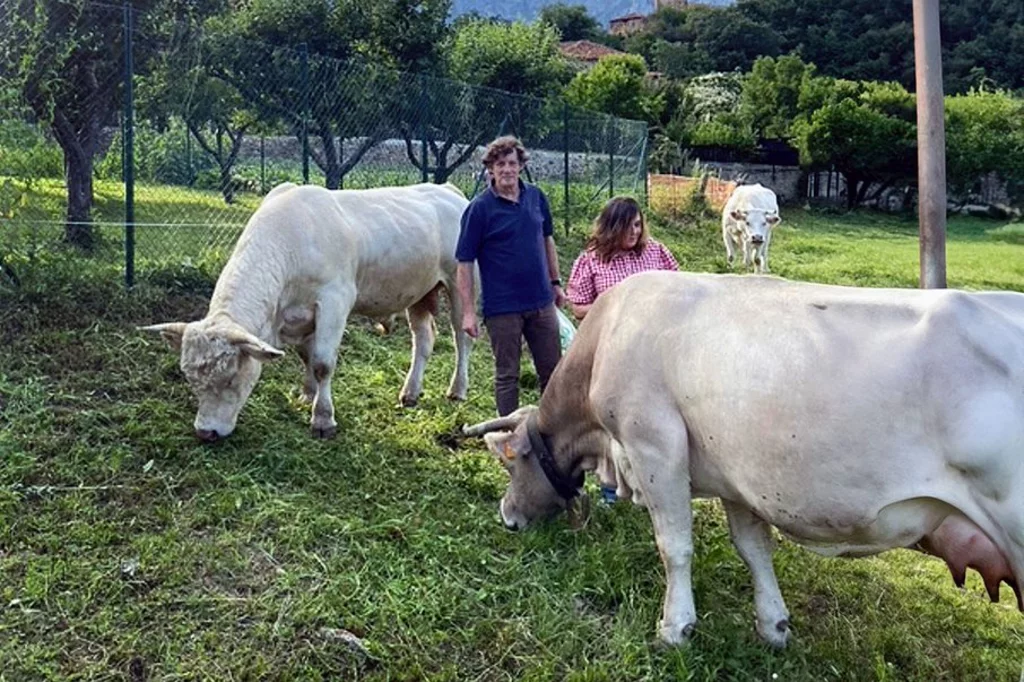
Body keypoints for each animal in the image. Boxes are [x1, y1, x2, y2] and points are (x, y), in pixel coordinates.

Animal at [142, 180, 473, 438]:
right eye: (190, 378)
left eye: (232, 379)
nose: (206, 432)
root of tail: (449, 190)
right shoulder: (297, 317)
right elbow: (307, 356)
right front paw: (307, 394)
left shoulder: (334, 301)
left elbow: (323, 362)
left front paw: (323, 419)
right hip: (421, 292)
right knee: (424, 339)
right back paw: (410, 392)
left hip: (462, 284)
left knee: (462, 338)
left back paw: (457, 389)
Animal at [466, 270, 1024, 643]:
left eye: (511, 461)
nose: (507, 517)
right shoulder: (735, 473)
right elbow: (753, 548)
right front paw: (773, 624)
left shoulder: (656, 446)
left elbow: (675, 545)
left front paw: (675, 627)